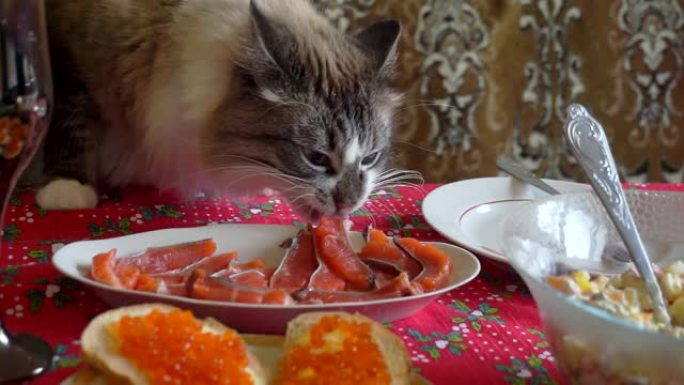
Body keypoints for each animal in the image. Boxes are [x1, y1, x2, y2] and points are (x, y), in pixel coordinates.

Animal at [32, 0, 404, 222]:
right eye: (316, 158)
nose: (349, 204)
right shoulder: (68, 60)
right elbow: (71, 121)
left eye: (370, 158)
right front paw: (67, 189)